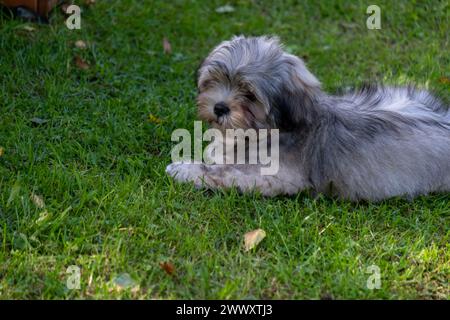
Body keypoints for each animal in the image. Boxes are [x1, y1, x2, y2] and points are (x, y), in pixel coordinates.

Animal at [167, 35, 450, 200]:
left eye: (249, 94)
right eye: (213, 81)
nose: (220, 107)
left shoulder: (274, 176)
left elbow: (225, 172)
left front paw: (185, 169)